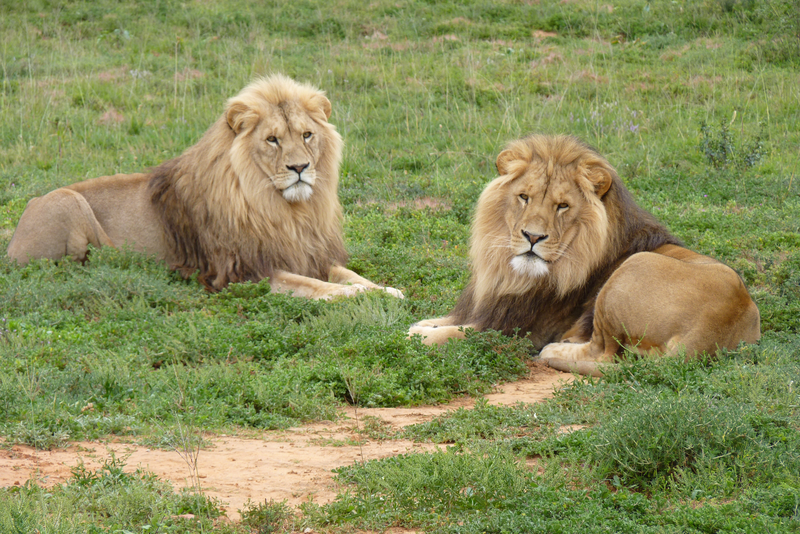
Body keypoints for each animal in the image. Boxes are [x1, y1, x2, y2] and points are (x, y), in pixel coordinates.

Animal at [7, 75, 404, 302]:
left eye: (307, 135)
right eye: (272, 140)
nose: (300, 168)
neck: (287, 211)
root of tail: (13, 238)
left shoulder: (313, 256)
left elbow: (350, 275)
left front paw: (388, 290)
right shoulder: (245, 273)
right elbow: (321, 288)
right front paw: (358, 295)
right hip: (66, 201)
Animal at [412, 135, 764, 376]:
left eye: (562, 206)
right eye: (524, 197)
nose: (532, 237)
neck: (513, 273)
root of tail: (709, 333)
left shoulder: (517, 329)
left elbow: (451, 335)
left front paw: (419, 336)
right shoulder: (490, 307)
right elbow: (442, 321)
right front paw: (420, 324)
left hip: (630, 272)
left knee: (604, 353)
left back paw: (555, 351)